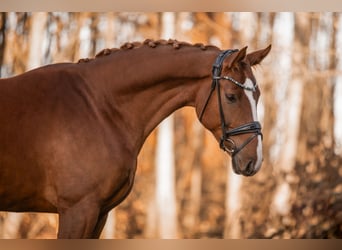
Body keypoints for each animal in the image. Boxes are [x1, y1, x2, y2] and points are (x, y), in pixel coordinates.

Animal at [0, 39, 272, 238]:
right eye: (231, 96)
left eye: (258, 95)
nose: (254, 160)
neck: (97, 106)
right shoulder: (77, 210)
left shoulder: (99, 214)